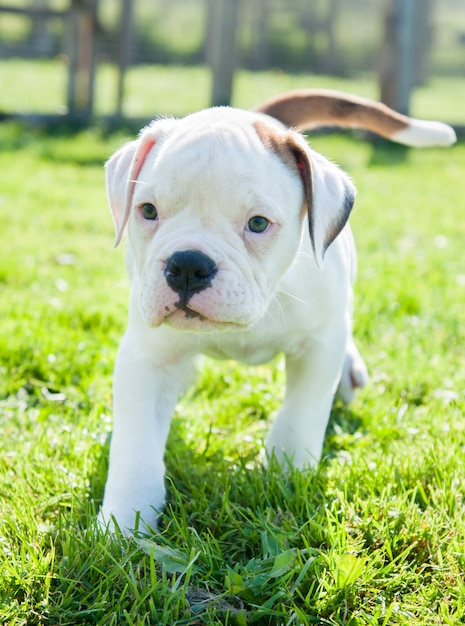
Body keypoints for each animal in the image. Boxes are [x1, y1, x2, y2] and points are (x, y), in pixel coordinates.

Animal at [100, 88, 454, 532]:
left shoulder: (319, 346)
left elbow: (300, 417)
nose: (187, 266)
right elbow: (137, 448)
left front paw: (287, 475)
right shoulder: (146, 359)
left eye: (257, 223)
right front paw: (122, 524)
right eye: (148, 211)